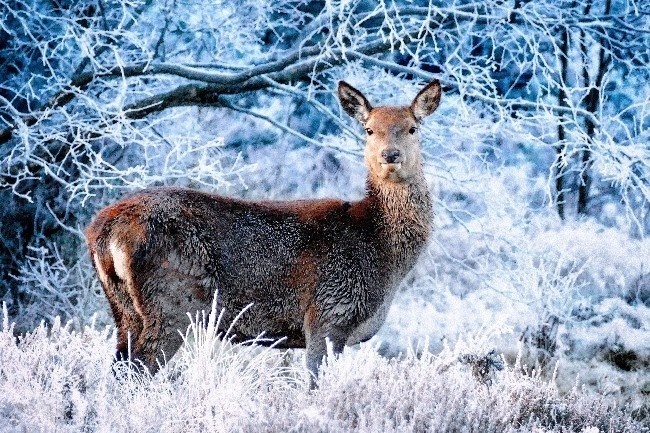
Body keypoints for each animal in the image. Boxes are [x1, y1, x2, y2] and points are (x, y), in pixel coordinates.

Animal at [85, 80, 440, 384]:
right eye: (369, 130)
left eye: (412, 128)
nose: (390, 155)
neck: (380, 250)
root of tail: (103, 231)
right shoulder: (328, 314)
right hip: (173, 302)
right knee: (137, 372)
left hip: (124, 310)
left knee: (118, 369)